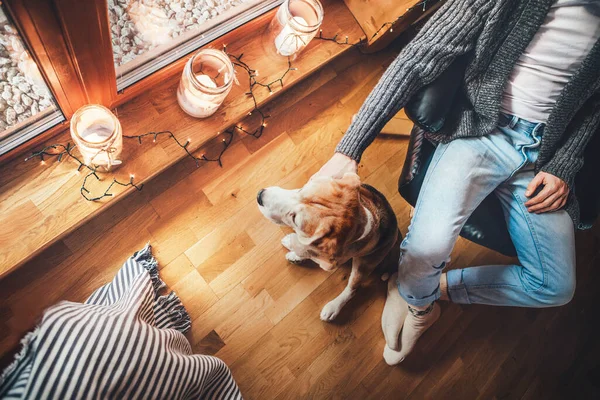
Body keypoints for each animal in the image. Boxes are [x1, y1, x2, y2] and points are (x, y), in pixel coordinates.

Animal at [254, 173, 398, 320]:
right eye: (302, 189)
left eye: (294, 219)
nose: (260, 195)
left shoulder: (330, 261)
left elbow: (307, 249)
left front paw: (294, 245)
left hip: (363, 264)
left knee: (352, 289)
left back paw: (333, 307)